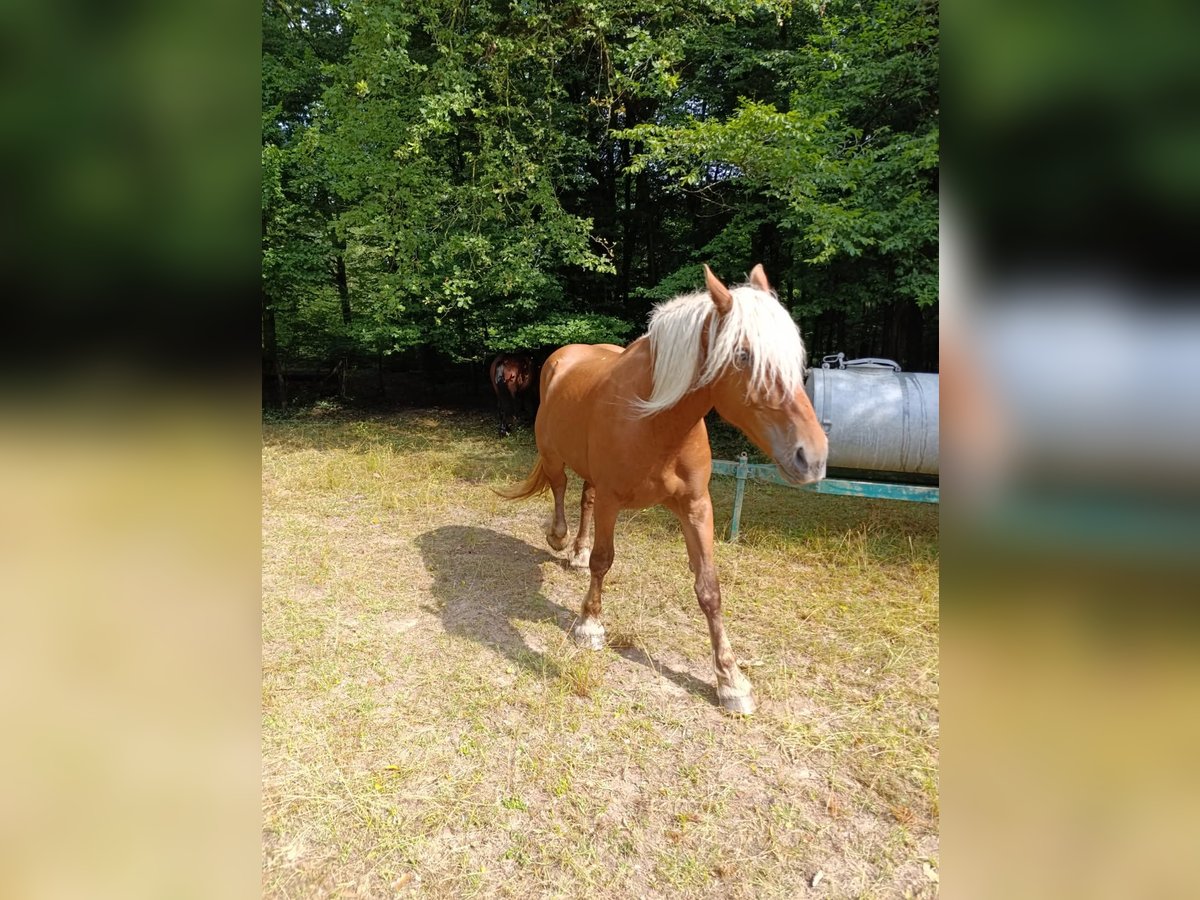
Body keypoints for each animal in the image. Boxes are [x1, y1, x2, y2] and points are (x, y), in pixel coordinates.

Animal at [497, 264, 828, 714]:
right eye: (743, 355)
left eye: (797, 359)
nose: (812, 457)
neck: (655, 421)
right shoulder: (614, 501)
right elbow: (604, 561)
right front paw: (589, 625)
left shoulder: (695, 506)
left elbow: (709, 588)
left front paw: (731, 682)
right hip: (552, 454)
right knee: (561, 489)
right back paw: (560, 539)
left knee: (584, 498)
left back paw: (576, 552)